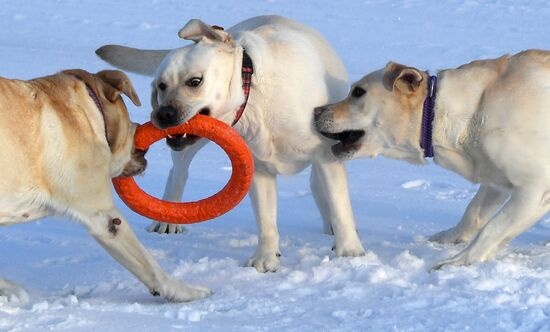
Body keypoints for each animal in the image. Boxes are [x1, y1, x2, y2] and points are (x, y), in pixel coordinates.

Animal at [97, 14, 368, 272]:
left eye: (195, 81)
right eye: (161, 86)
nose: (163, 114)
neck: (255, 96)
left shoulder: (325, 156)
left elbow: (339, 206)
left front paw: (349, 253)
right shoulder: (258, 169)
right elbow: (266, 221)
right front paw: (265, 260)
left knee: (318, 187)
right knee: (178, 172)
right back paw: (167, 219)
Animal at [312, 50, 550, 270]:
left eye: (358, 92)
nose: (315, 111)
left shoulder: (533, 192)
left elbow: (492, 228)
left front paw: (458, 261)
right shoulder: (495, 180)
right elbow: (473, 212)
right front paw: (451, 238)